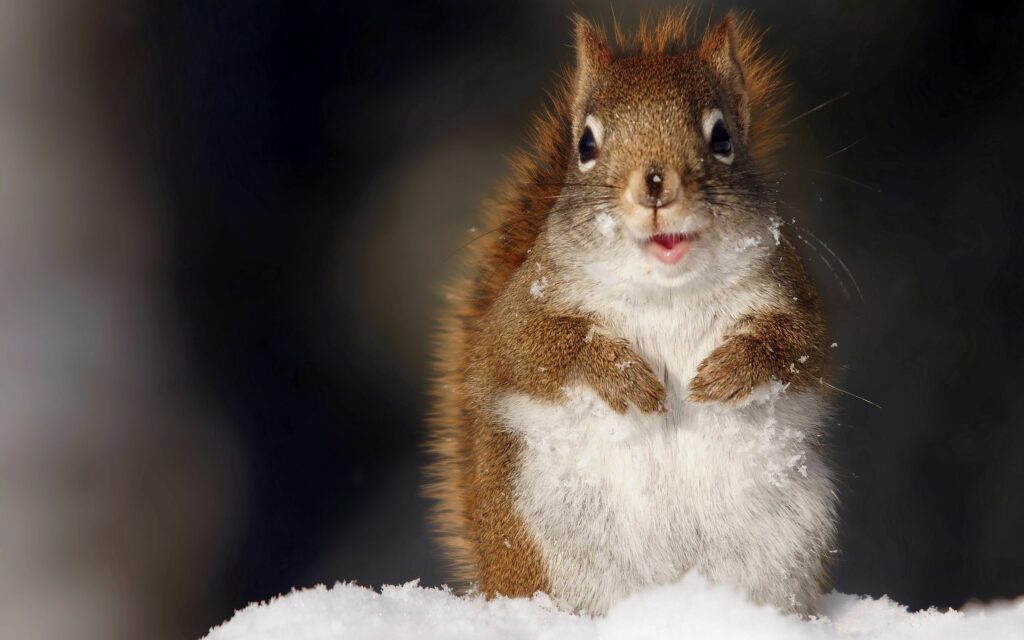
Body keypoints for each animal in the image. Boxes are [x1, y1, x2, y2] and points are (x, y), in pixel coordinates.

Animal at [427, 10, 837, 617]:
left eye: (722, 138)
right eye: (585, 143)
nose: (656, 184)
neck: (665, 289)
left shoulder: (790, 295)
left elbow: (795, 348)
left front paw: (728, 370)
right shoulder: (521, 313)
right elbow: (537, 351)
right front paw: (623, 376)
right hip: (541, 540)